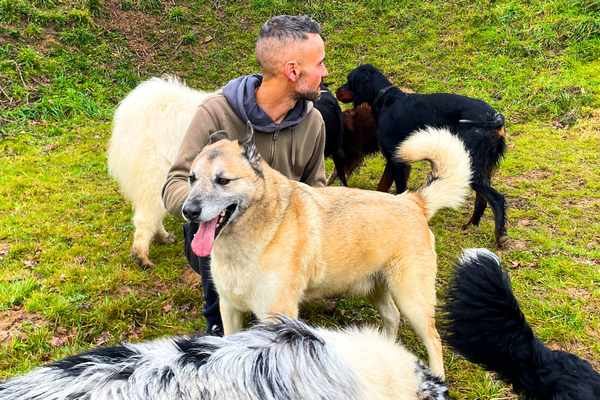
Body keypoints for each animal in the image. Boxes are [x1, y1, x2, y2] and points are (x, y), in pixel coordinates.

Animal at [180, 122, 472, 378]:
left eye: (223, 181)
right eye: (192, 178)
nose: (189, 211)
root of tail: (413, 201)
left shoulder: (276, 317)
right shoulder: (229, 310)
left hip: (413, 300)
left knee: (434, 339)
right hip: (378, 289)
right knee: (392, 316)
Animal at [336, 64, 508, 247]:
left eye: (349, 79)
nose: (337, 91)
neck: (386, 100)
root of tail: (496, 118)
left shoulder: (398, 162)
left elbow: (399, 189)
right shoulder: (392, 160)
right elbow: (381, 187)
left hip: (469, 166)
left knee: (496, 198)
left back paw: (500, 237)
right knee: (482, 199)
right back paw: (470, 227)